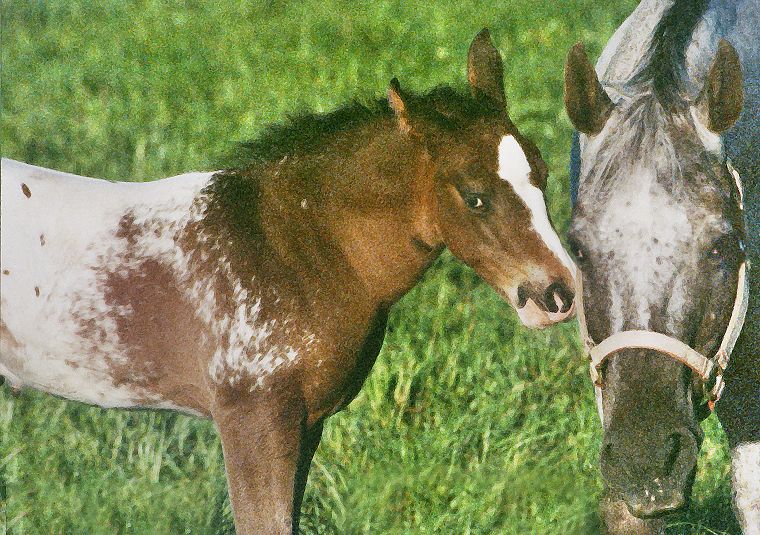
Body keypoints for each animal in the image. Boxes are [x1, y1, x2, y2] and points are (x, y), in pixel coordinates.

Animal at [0, 31, 572, 532]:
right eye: (474, 196)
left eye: (543, 173)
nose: (559, 293)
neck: (289, 248)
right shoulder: (254, 419)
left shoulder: (306, 423)